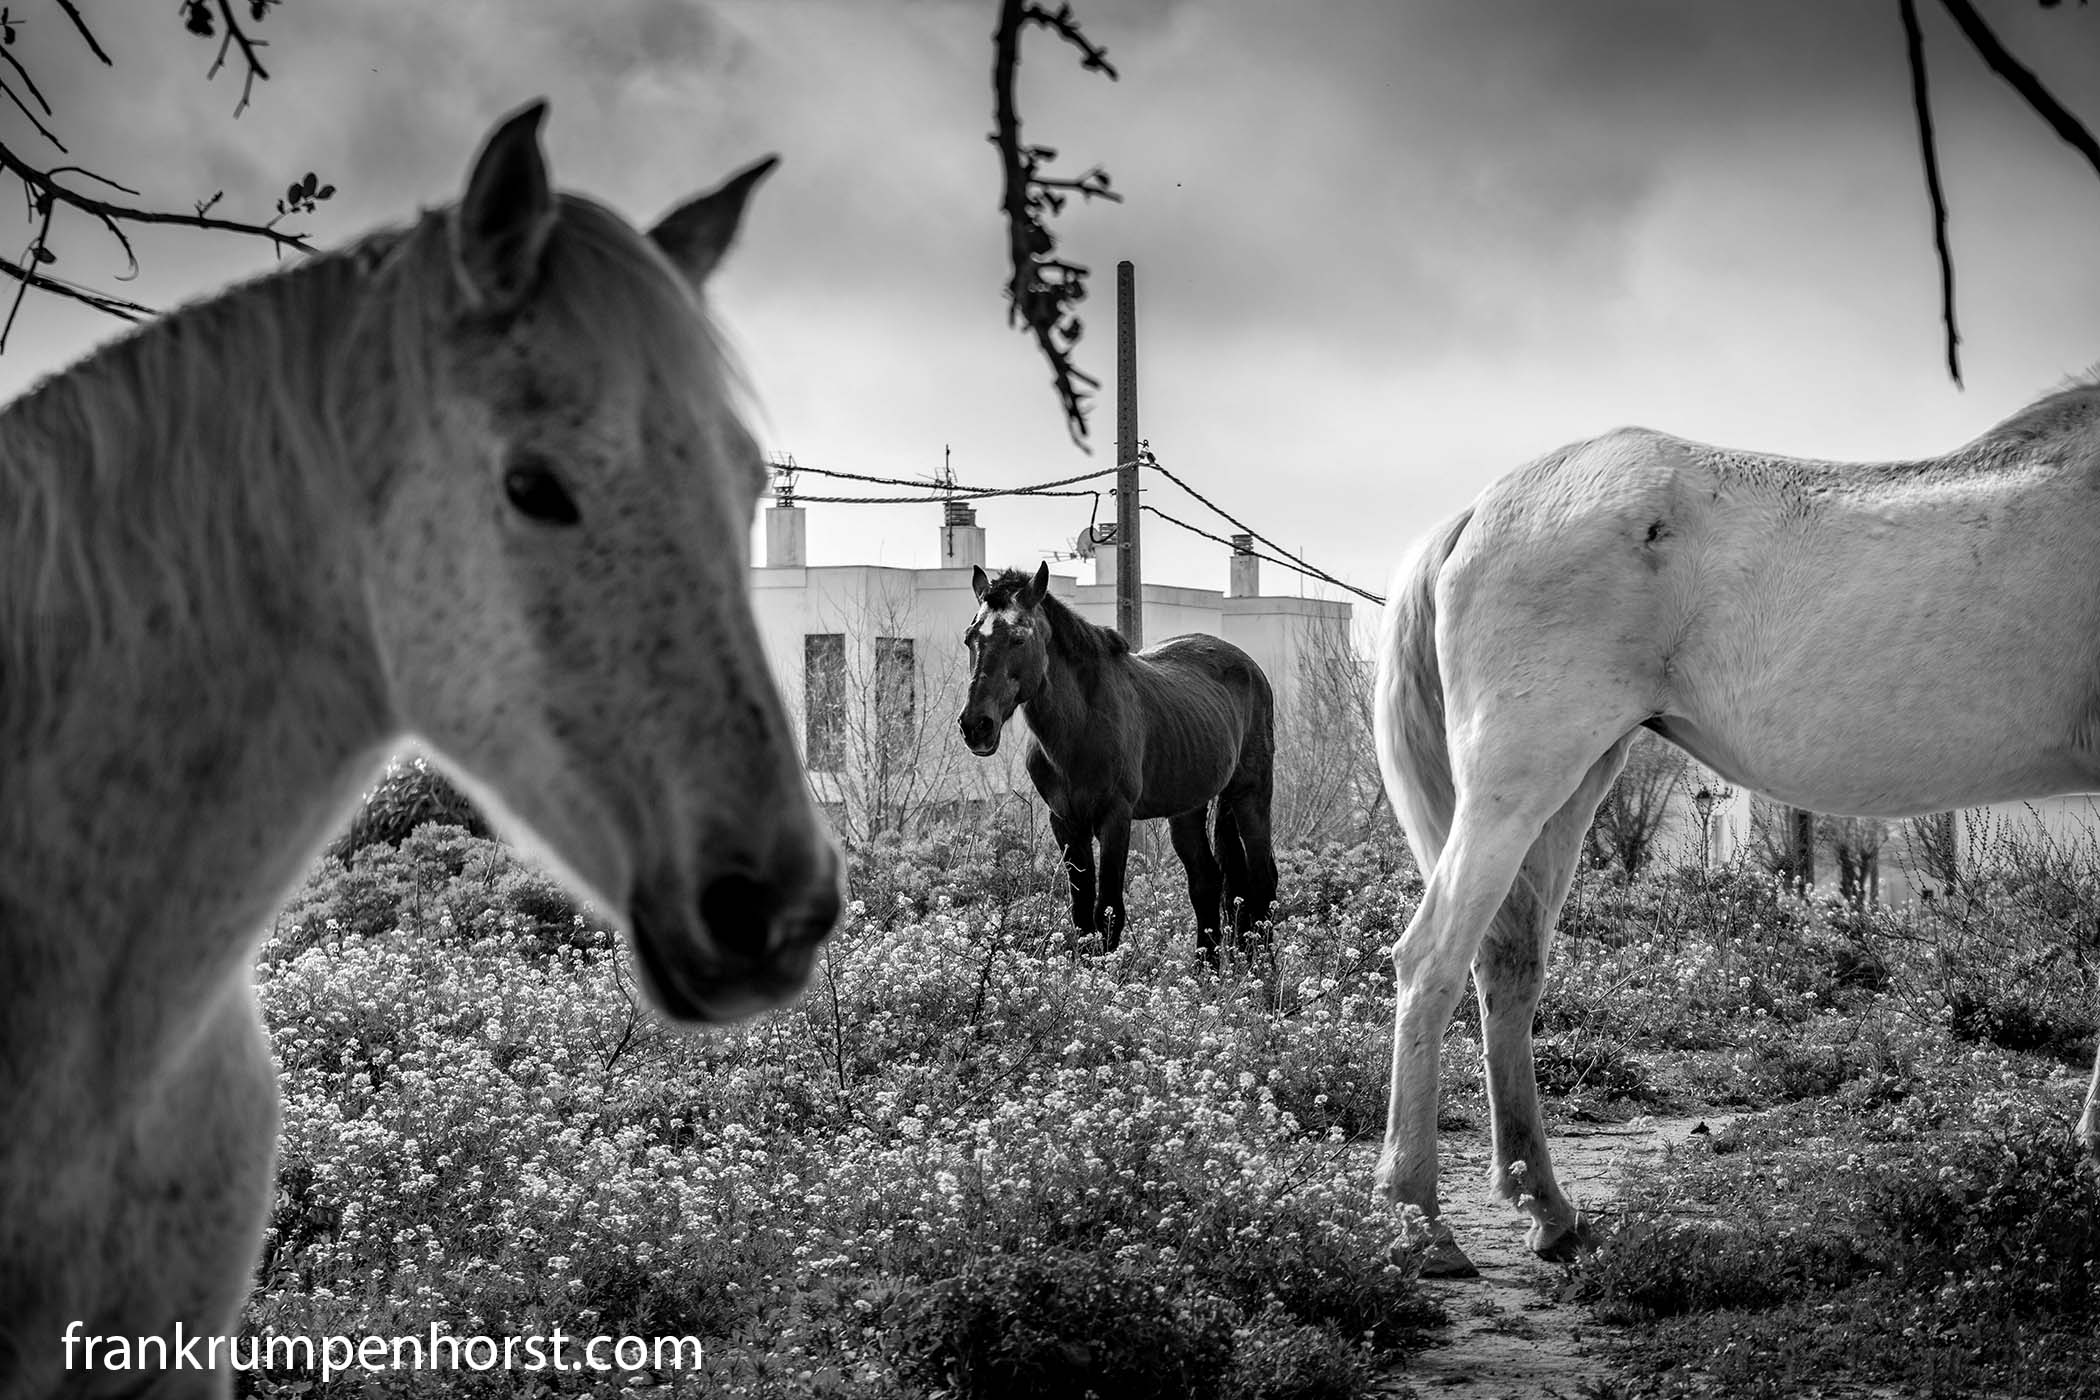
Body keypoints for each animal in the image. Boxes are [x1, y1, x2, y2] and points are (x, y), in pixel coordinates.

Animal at [958, 562, 1278, 954]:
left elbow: (1108, 911)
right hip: (1187, 808)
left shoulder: (1116, 818)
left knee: (1262, 881)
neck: (1080, 728)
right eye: (971, 638)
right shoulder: (1066, 823)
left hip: (1250, 795)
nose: (976, 726)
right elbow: (1082, 915)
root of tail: (1250, 667)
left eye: (1018, 638)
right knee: (1207, 881)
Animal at [1373, 378, 2100, 1277]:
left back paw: (1546, 1207)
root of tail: (1482, 509)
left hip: (1575, 784)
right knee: (1431, 959)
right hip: (1517, 785)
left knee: (1508, 966)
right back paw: (1419, 1220)